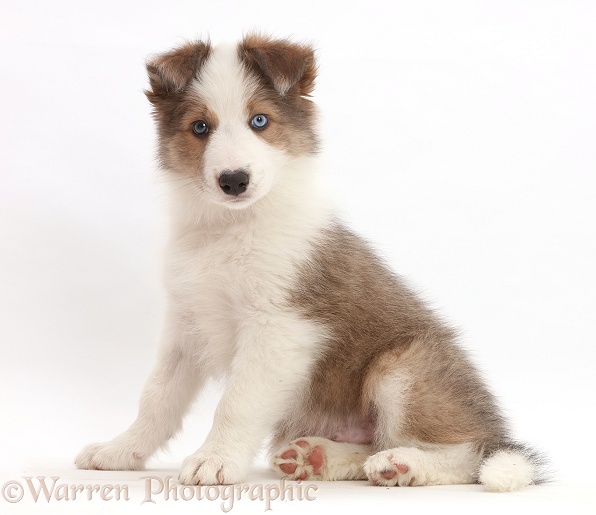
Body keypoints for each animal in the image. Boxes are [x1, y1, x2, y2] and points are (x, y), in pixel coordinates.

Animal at [74, 34, 544, 494]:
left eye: (259, 121)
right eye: (200, 127)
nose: (234, 180)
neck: (231, 227)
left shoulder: (279, 327)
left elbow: (236, 402)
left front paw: (215, 459)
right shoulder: (186, 323)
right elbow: (156, 397)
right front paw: (120, 451)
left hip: (403, 368)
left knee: (467, 453)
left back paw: (402, 464)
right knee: (372, 444)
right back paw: (317, 457)